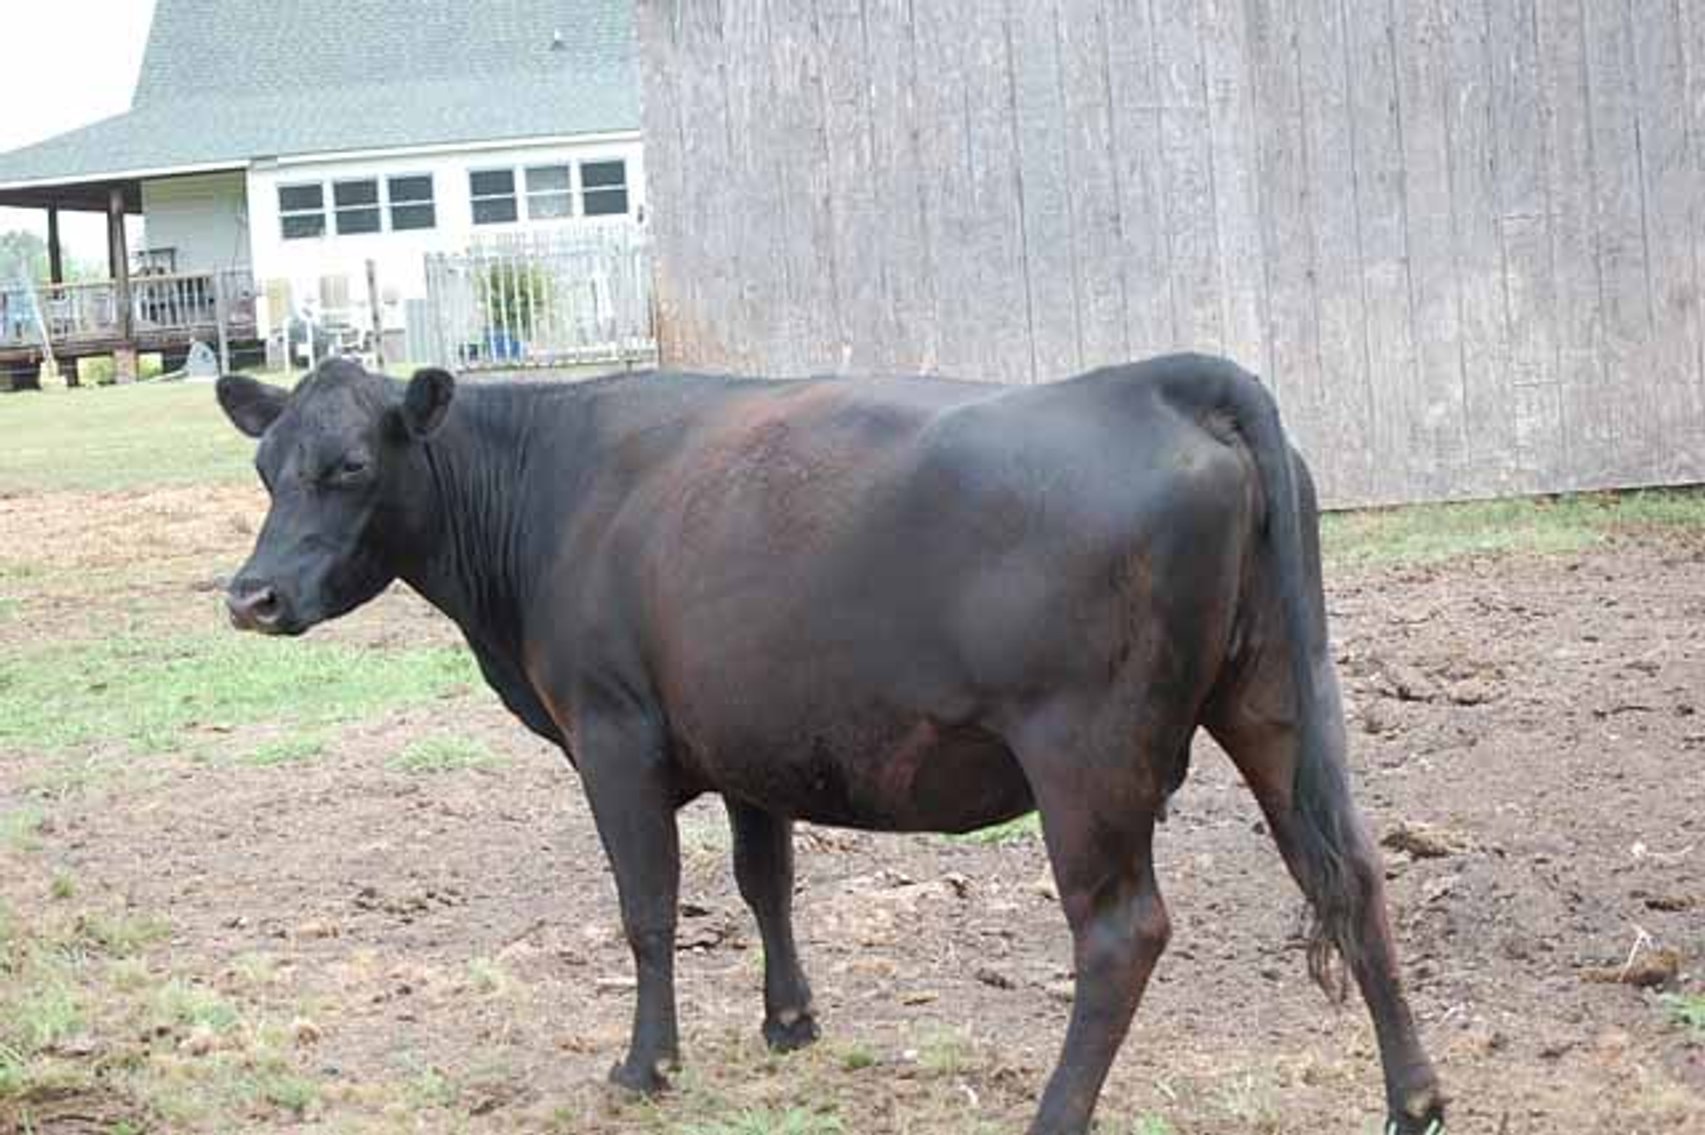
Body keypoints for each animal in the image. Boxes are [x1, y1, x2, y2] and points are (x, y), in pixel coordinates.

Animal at [216, 354, 1444, 1135]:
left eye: (351, 466)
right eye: (266, 466)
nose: (252, 596)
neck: (550, 489)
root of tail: (1161, 378)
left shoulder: (612, 732)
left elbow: (647, 907)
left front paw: (644, 1064)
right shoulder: (748, 737)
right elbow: (766, 882)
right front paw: (789, 1022)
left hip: (1085, 755)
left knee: (1121, 932)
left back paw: (1054, 1114)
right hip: (1278, 699)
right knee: (1349, 874)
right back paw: (1413, 1101)